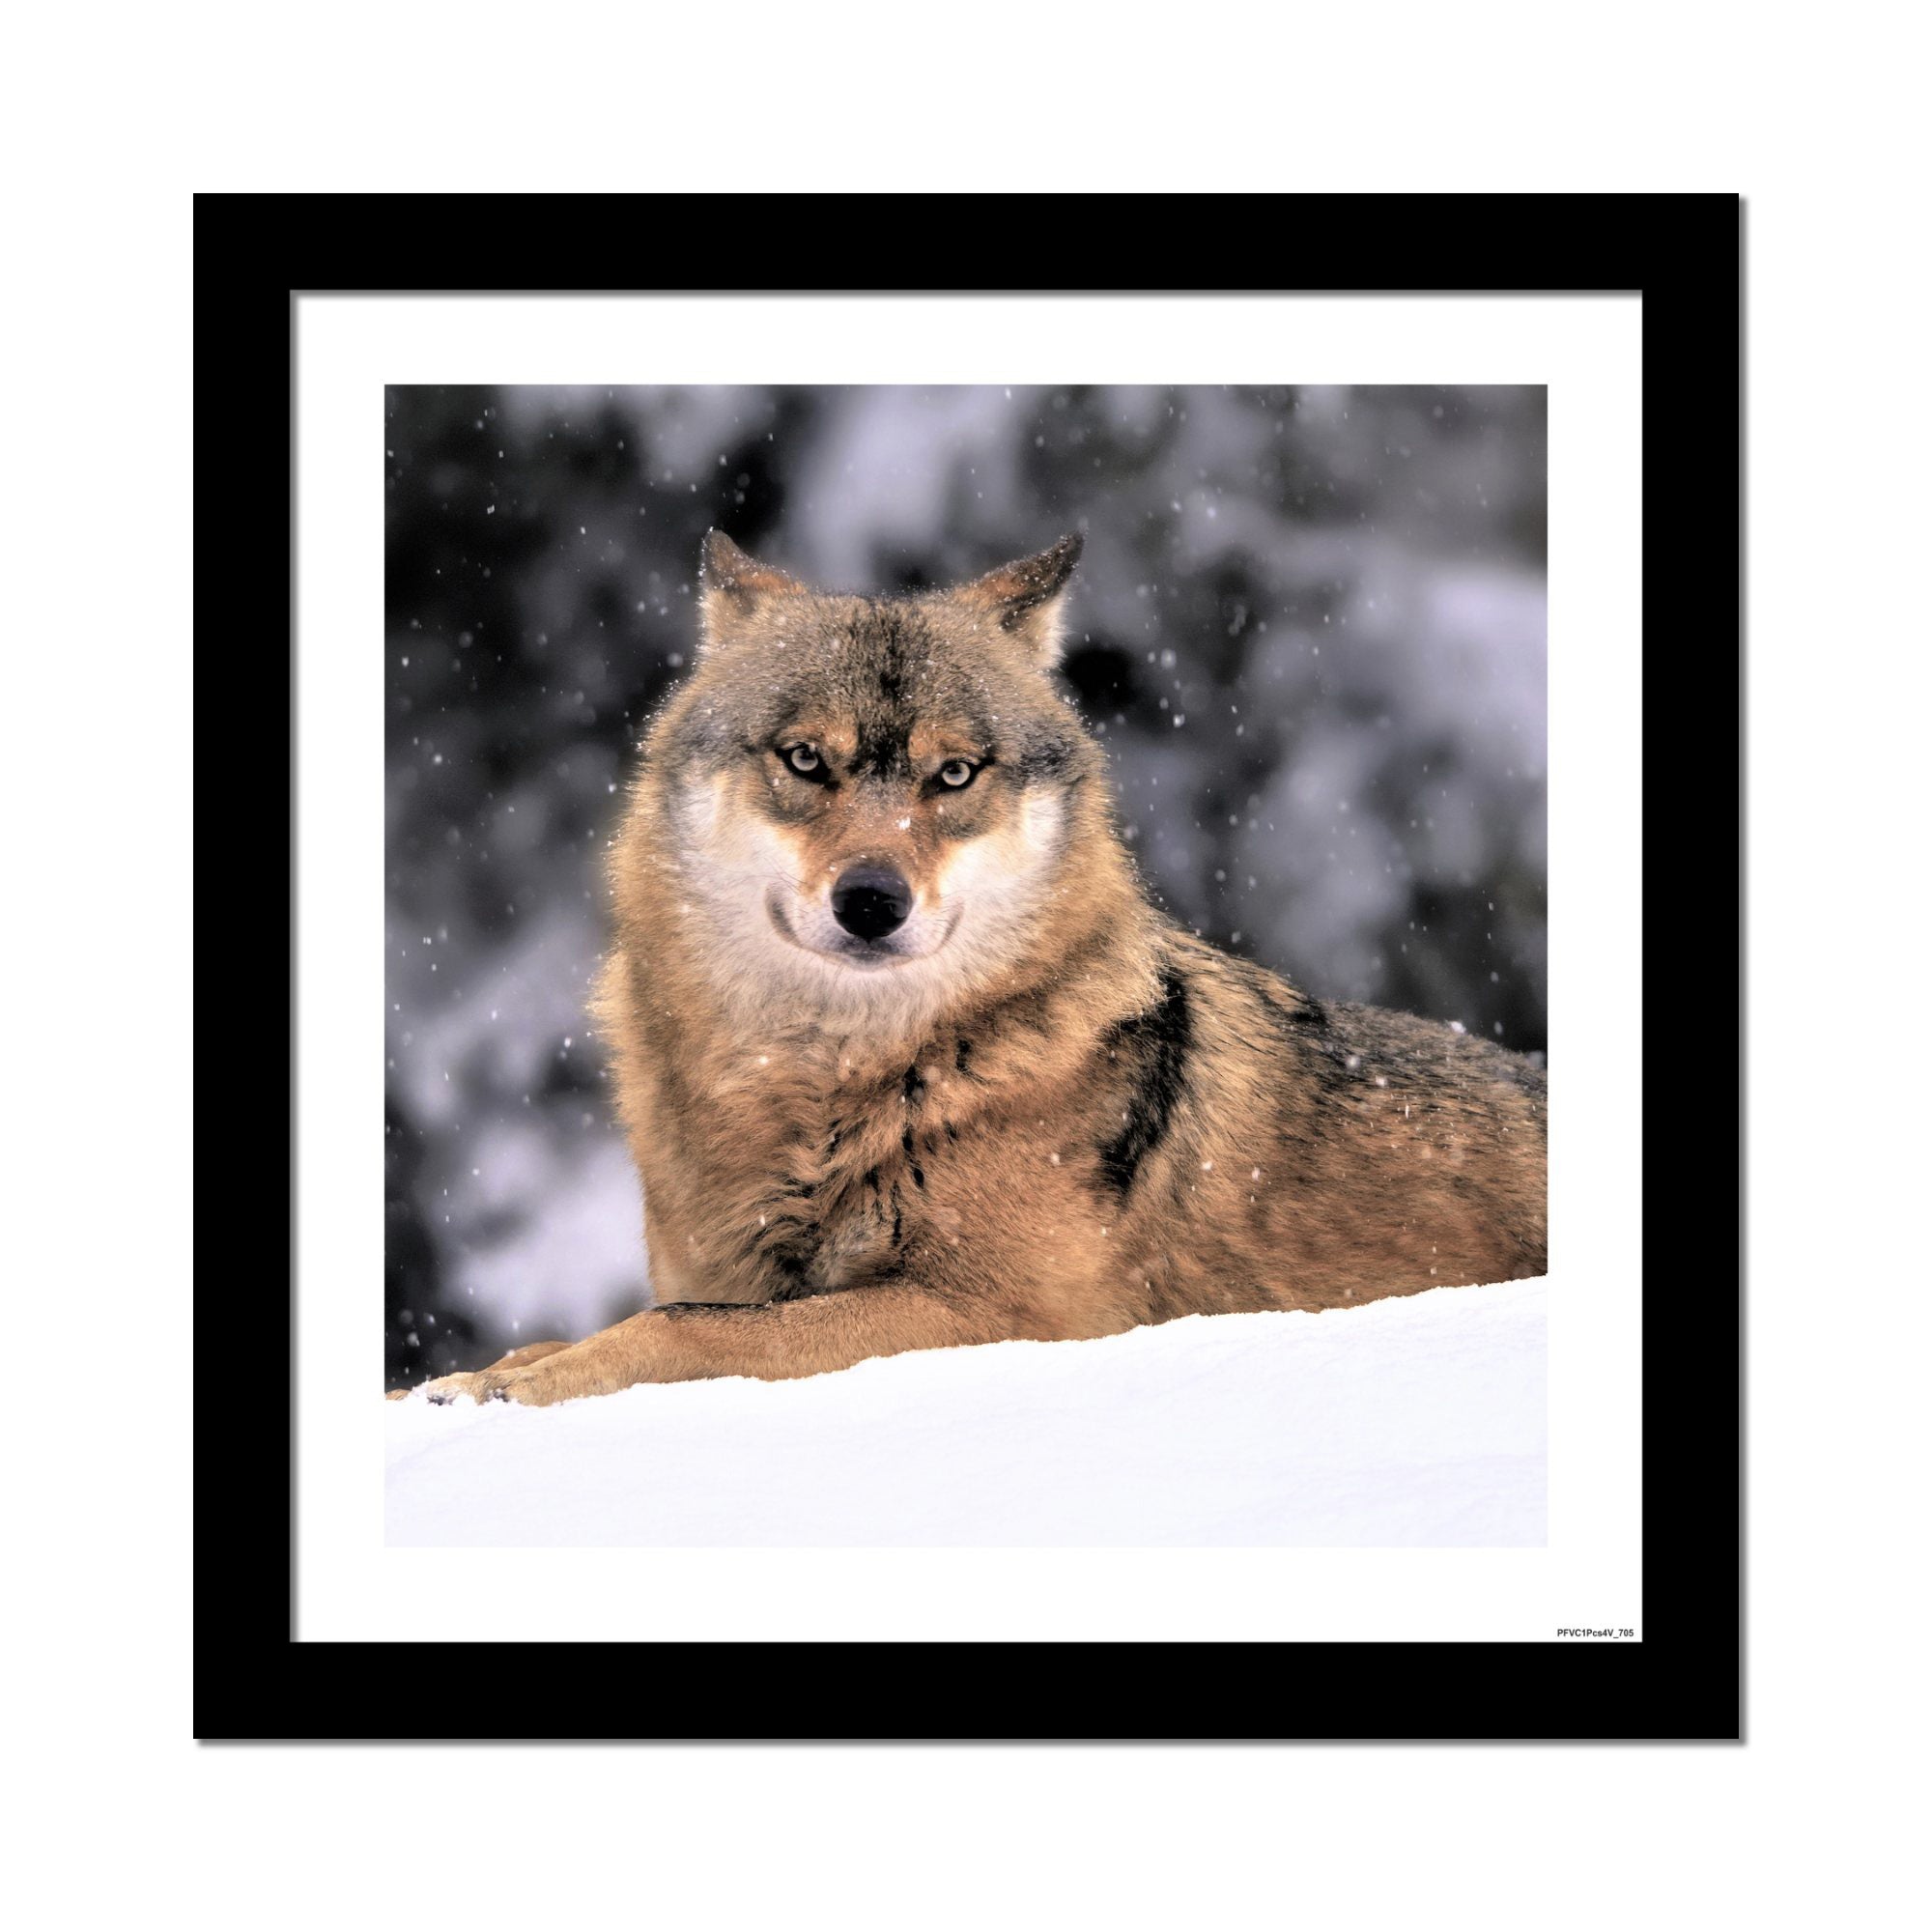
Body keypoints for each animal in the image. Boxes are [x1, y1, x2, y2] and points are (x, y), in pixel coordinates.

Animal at [407, 531, 1545, 1405]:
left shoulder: (999, 1312)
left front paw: (510, 1389)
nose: (871, 901)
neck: (825, 1094)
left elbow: (688, 1327)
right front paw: (470, 1376)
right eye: (805, 760)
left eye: (952, 773)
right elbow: (597, 1325)